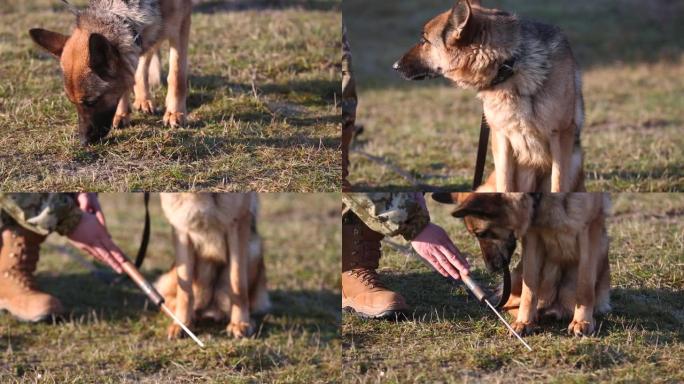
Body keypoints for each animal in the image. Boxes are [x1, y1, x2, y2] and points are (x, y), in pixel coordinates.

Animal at [28, 0, 190, 144]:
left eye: (92, 101)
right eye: (72, 103)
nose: (83, 142)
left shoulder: (181, 26)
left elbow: (177, 76)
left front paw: (174, 112)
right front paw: (121, 113)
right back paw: (143, 98)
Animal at [392, 0, 584, 192]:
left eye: (424, 41)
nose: (395, 66)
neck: (509, 65)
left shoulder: (561, 136)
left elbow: (558, 185)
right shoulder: (501, 137)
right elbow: (505, 185)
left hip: (574, 162)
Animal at [432, 192, 608, 336]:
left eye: (481, 233)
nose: (490, 268)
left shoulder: (591, 229)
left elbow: (585, 287)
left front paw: (582, 321)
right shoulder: (532, 235)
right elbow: (529, 290)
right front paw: (524, 322)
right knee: (509, 304)